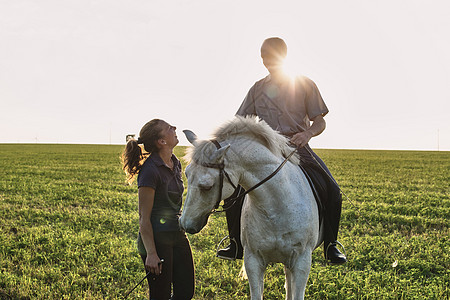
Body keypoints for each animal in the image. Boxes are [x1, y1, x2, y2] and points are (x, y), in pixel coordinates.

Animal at [179, 116, 324, 300]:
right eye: (186, 174)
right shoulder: (253, 261)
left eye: (207, 186)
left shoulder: (302, 262)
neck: (276, 209)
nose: (185, 224)